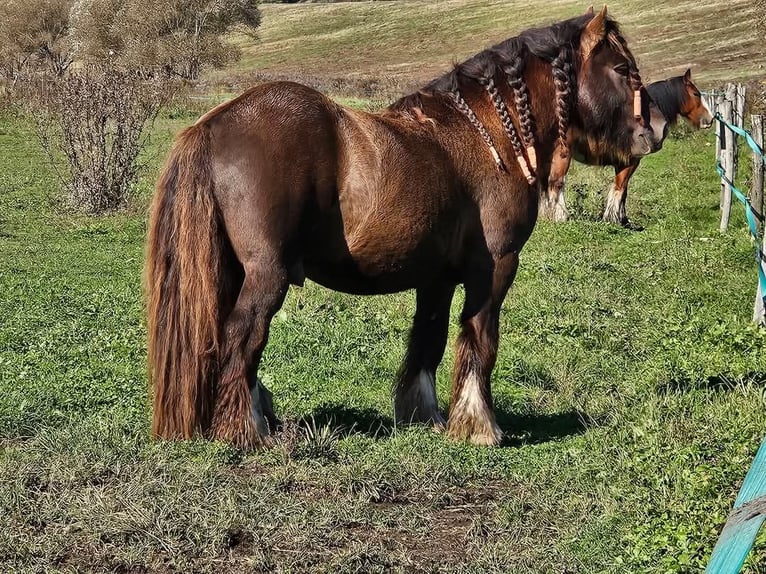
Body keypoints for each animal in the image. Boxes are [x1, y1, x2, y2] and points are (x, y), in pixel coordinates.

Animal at [147, 6, 668, 452]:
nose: (658, 130)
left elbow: (429, 340)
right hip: (266, 275)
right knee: (243, 337)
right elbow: (480, 338)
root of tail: (213, 124)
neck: (485, 134)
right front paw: (480, 425)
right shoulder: (495, 268)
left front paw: (427, 415)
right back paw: (248, 430)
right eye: (622, 69)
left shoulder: (437, 279)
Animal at [540, 68, 712, 225]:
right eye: (696, 94)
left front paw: (622, 218)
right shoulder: (630, 162)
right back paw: (561, 217)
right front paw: (613, 219)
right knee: (556, 183)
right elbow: (620, 188)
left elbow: (624, 191)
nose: (710, 119)